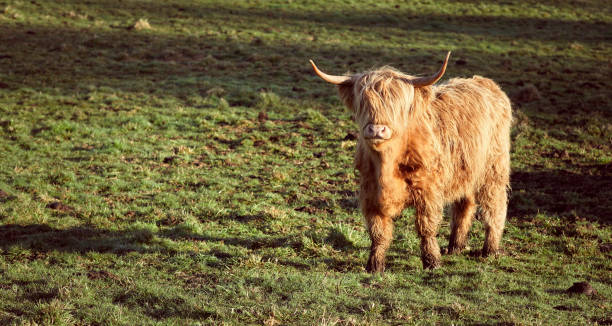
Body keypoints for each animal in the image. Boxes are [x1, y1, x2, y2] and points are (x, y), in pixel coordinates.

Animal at [310, 52, 512, 272]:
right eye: (363, 102)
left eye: (397, 105)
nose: (376, 129)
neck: (387, 165)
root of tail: (485, 83)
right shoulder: (370, 193)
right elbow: (378, 232)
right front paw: (374, 265)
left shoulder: (428, 192)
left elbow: (427, 227)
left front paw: (432, 261)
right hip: (466, 170)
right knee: (464, 206)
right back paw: (455, 246)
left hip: (494, 169)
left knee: (494, 207)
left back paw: (490, 249)